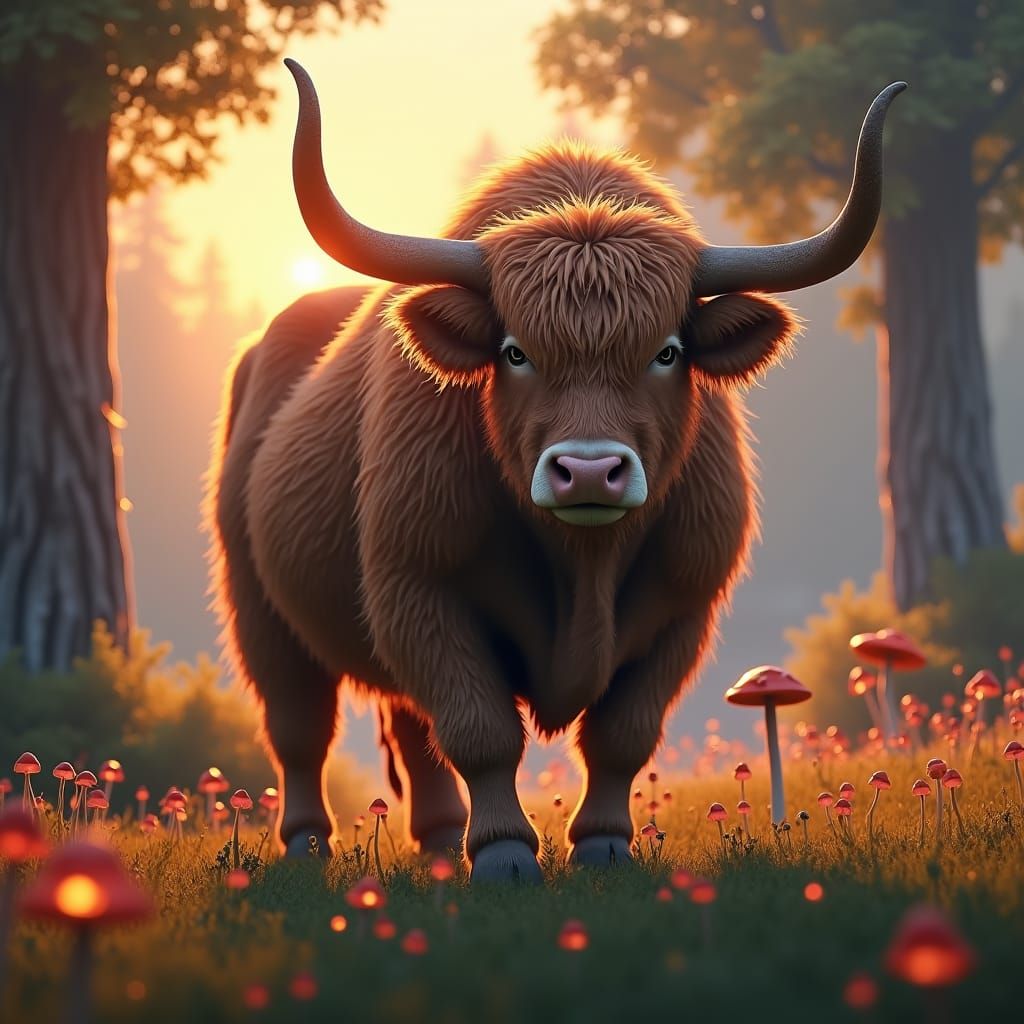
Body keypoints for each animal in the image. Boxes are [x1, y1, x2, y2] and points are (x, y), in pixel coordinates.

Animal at [206, 59, 903, 881]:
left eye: (668, 352)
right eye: (515, 351)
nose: (590, 472)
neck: (582, 565)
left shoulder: (684, 607)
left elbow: (623, 733)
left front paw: (602, 844)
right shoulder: (417, 585)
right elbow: (479, 728)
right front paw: (505, 854)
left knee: (407, 729)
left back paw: (439, 844)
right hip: (260, 612)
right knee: (300, 730)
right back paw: (311, 847)